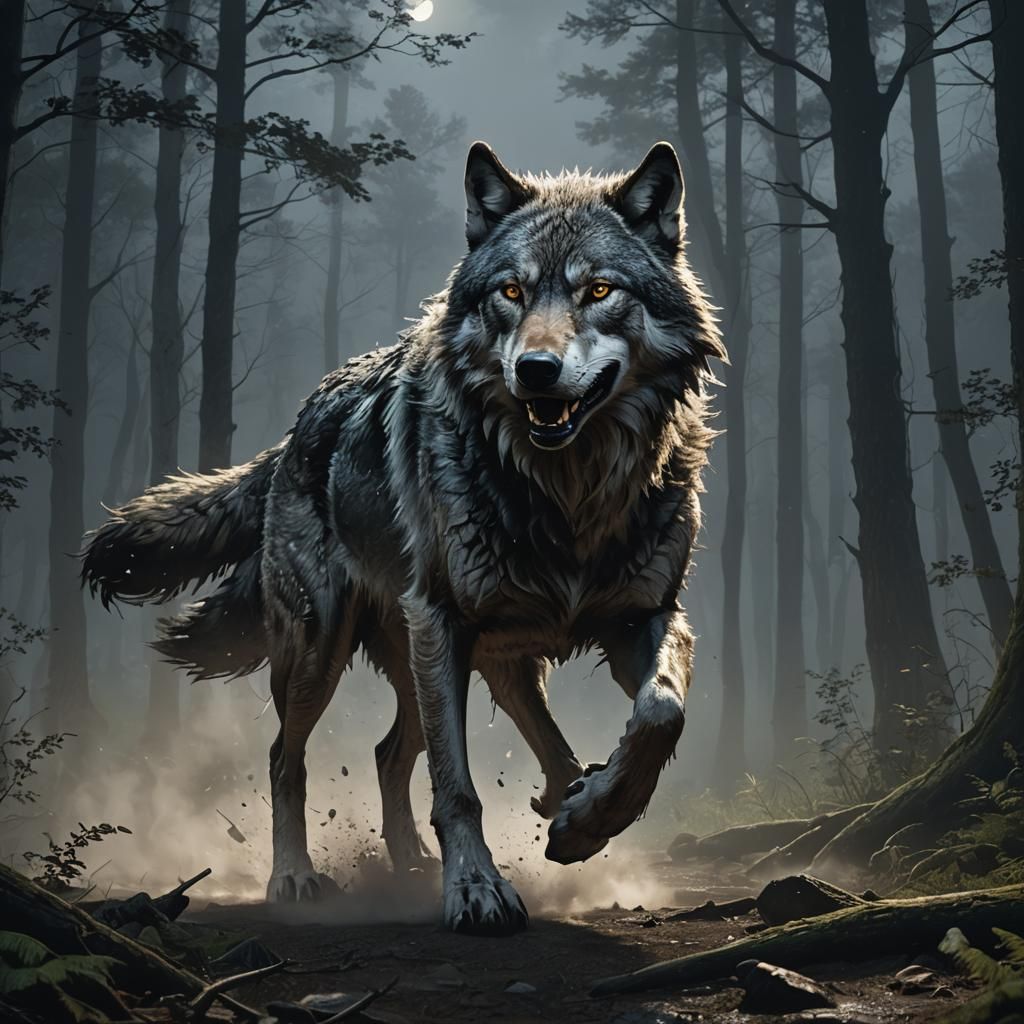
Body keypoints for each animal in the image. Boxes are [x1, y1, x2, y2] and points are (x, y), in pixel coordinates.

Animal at [82, 141, 725, 935]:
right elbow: (458, 788)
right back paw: (296, 877)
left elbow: (662, 713)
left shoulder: (647, 616)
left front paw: (589, 820)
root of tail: (296, 428)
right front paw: (477, 889)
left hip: (472, 659)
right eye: (510, 292)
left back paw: (483, 831)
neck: (567, 494)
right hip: (327, 651)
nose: (535, 370)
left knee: (400, 750)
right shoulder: (441, 623)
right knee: (287, 756)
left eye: (599, 290)